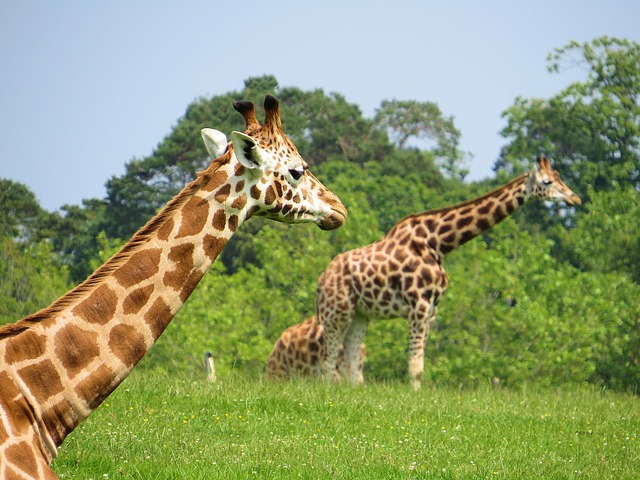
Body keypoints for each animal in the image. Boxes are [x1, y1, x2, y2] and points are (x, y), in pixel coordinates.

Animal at [318, 158, 584, 390]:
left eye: (560, 177)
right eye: (547, 182)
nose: (576, 198)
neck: (439, 244)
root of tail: (321, 280)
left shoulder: (432, 309)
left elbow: (420, 363)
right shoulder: (418, 305)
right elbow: (415, 365)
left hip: (359, 314)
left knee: (351, 361)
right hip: (337, 312)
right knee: (329, 360)